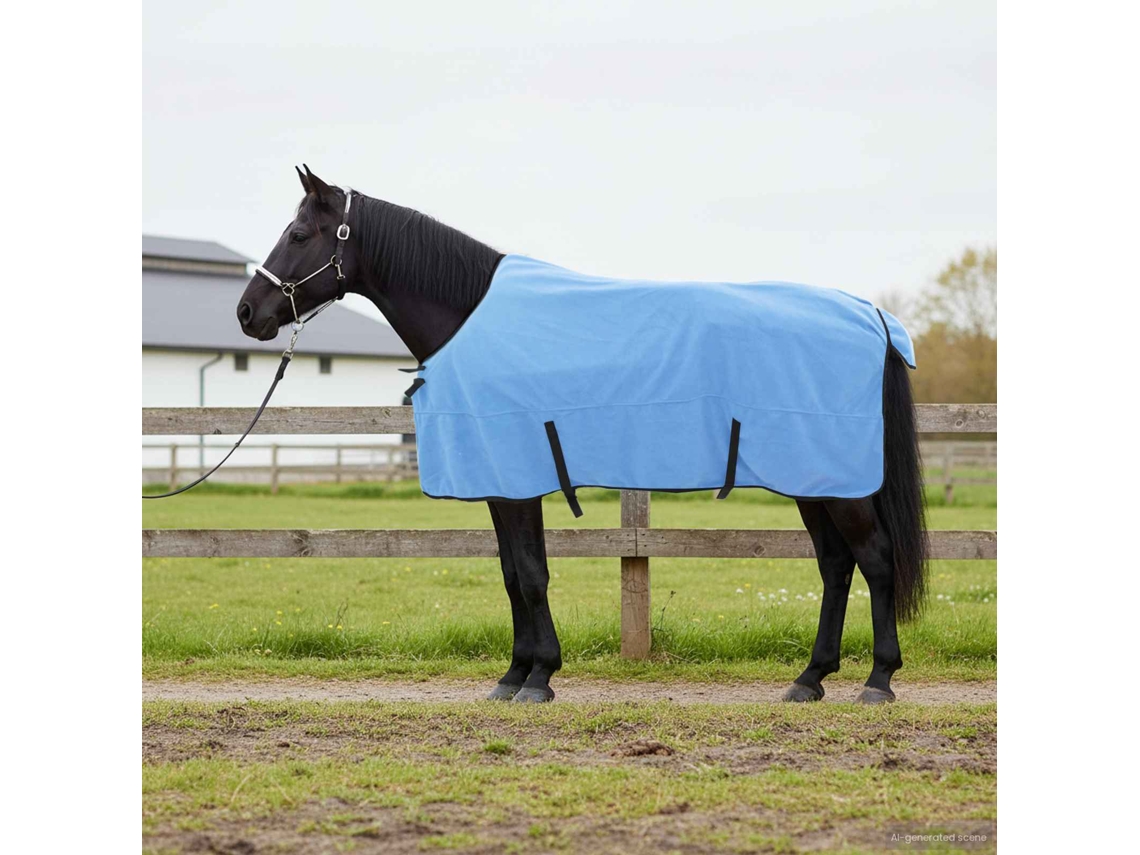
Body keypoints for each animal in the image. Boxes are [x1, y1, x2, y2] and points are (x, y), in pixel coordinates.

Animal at [237, 165, 928, 705]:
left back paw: (878, 680)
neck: (472, 317)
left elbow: (531, 574)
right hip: (814, 479)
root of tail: (870, 315)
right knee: (836, 565)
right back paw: (810, 679)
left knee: (875, 559)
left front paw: (538, 677)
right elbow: (513, 573)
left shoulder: (515, 480)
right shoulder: (503, 482)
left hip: (836, 482)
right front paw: (515, 675)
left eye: (298, 234)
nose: (248, 313)